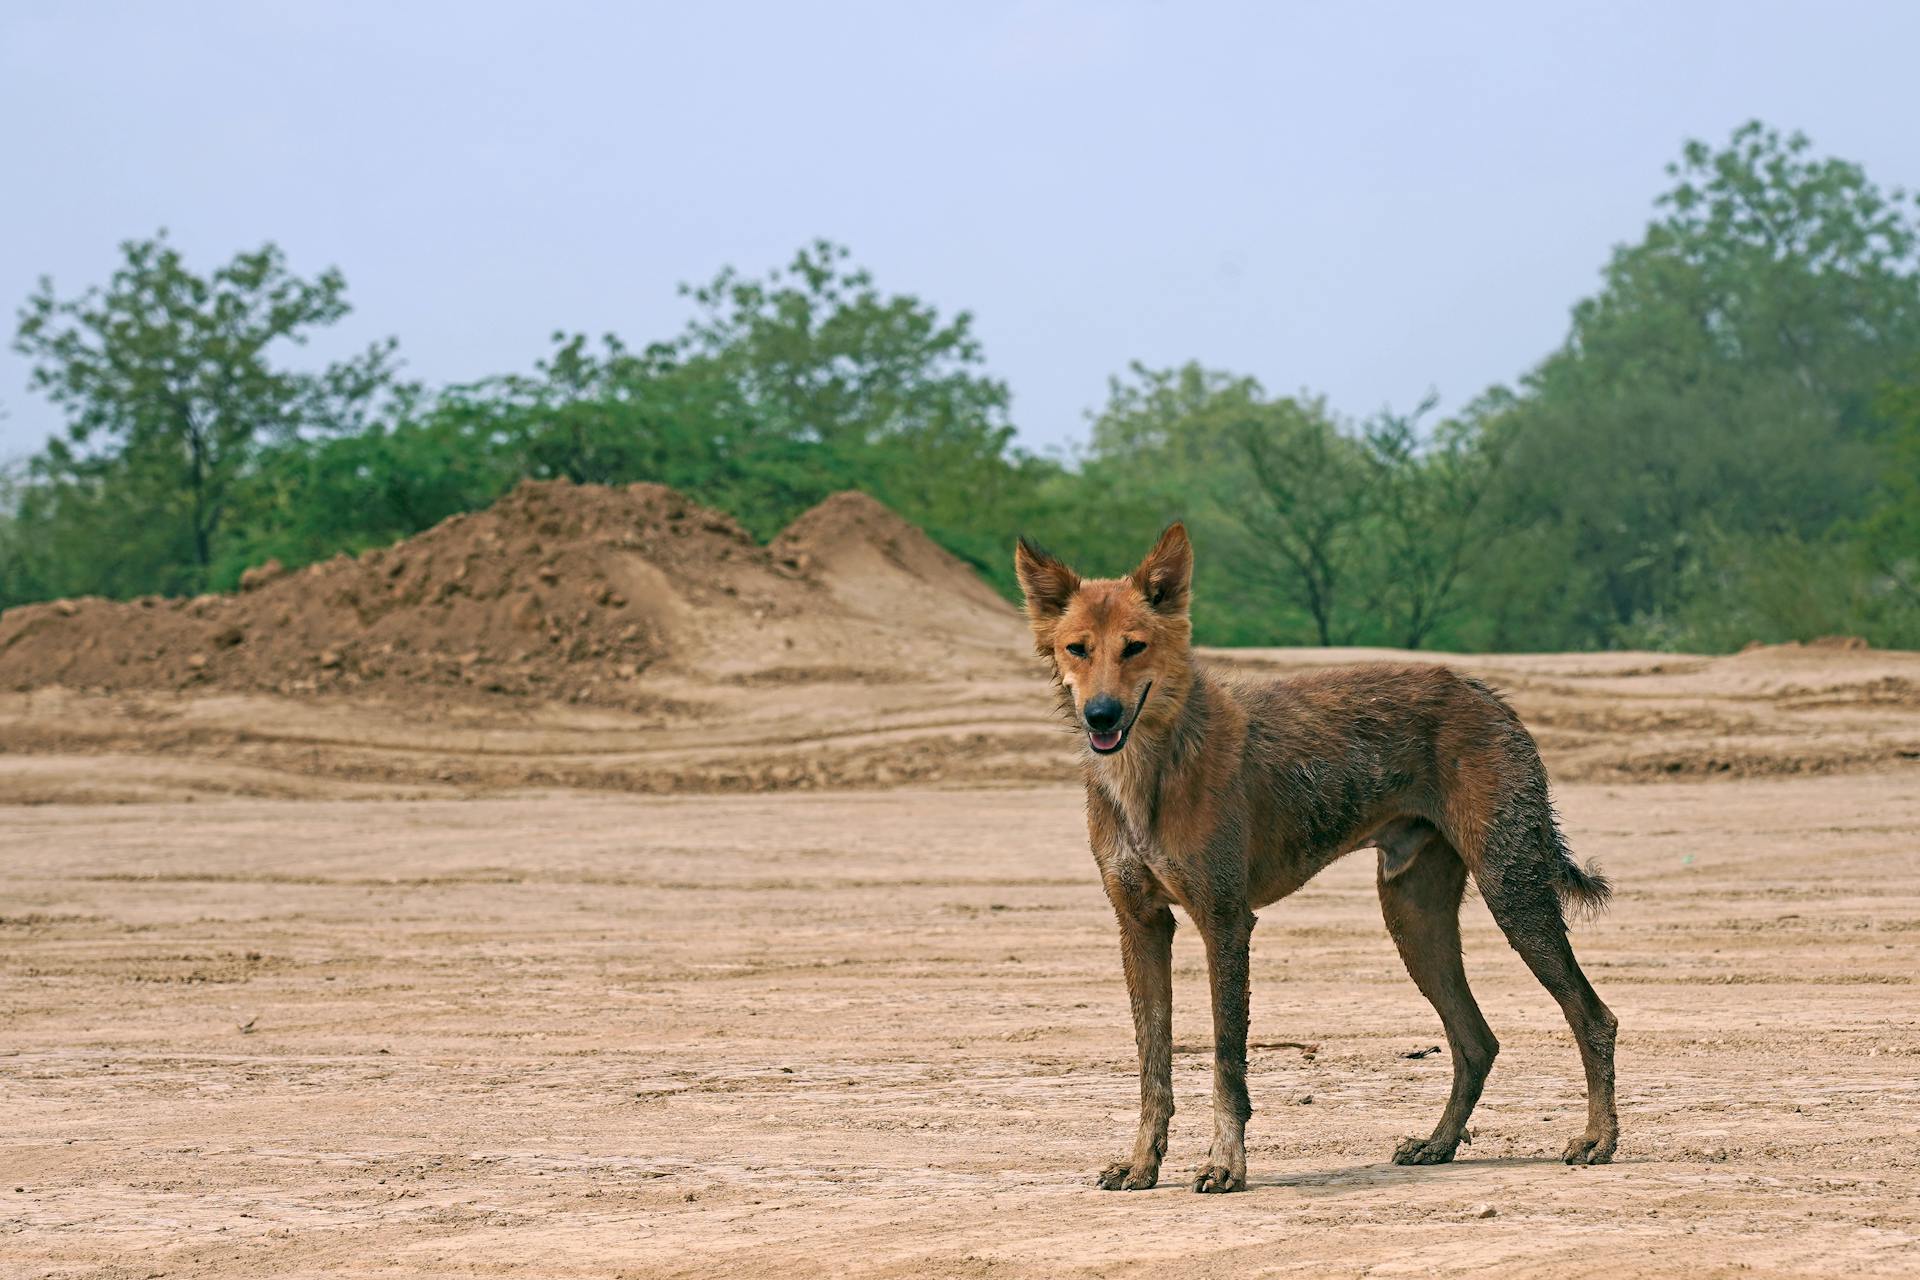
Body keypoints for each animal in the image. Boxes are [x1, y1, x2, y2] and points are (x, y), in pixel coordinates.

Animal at [1021, 521, 1620, 1189]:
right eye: (1077, 648)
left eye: (1135, 647)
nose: (1101, 714)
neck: (1154, 766)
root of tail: (1489, 696)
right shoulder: (1141, 925)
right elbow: (1153, 1064)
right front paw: (1141, 1163)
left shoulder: (1225, 923)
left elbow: (1227, 1060)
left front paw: (1225, 1164)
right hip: (1415, 921)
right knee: (1476, 1042)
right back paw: (1437, 1144)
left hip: (1512, 895)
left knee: (1593, 1017)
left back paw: (1598, 1138)